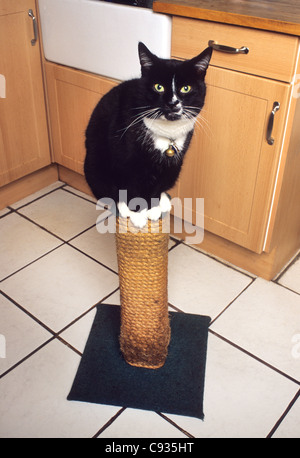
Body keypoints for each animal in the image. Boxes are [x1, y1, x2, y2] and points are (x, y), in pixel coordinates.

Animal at [83, 42, 212, 227]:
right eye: (159, 87)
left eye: (185, 88)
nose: (172, 103)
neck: (167, 133)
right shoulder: (126, 162)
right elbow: (131, 189)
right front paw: (138, 216)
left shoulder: (169, 165)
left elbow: (156, 187)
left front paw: (154, 208)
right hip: (94, 164)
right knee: (109, 192)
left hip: (176, 169)